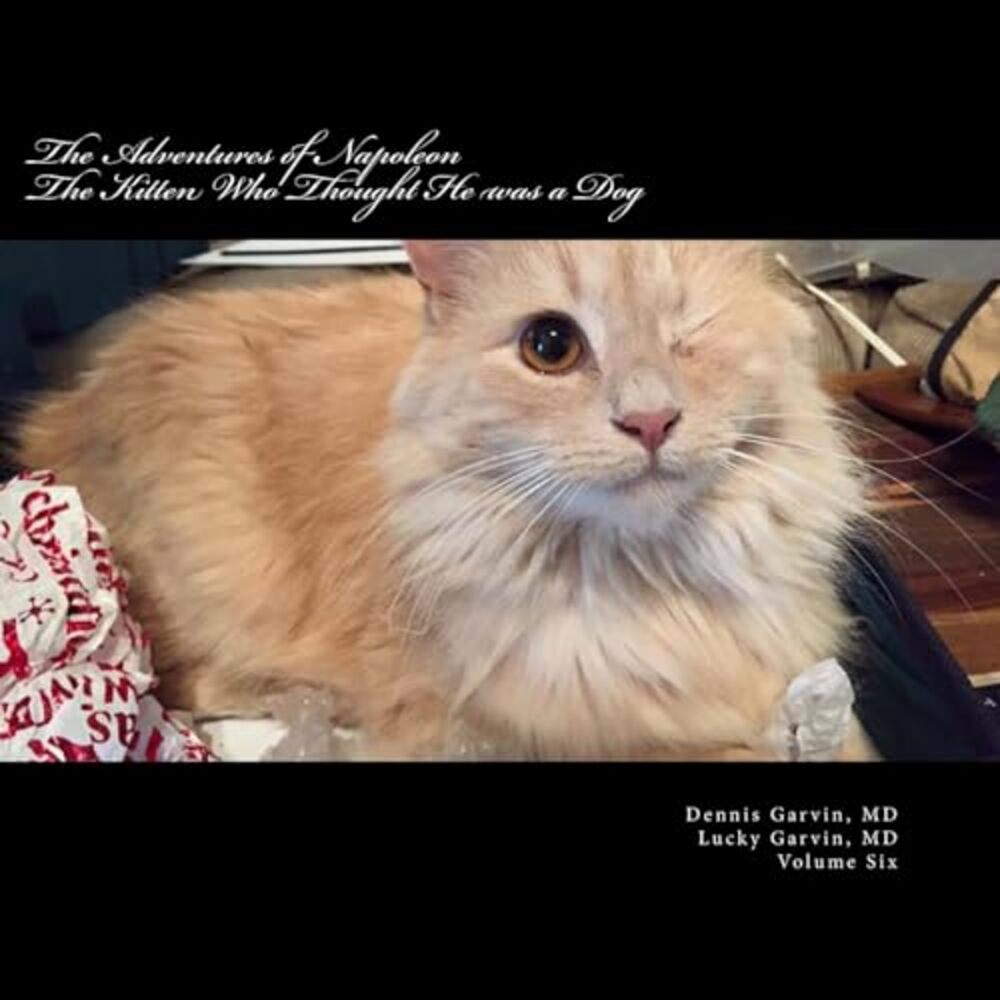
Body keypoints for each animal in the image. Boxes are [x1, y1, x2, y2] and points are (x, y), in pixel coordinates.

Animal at [14, 240, 876, 760]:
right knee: (189, 683)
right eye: (551, 347)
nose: (651, 420)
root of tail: (58, 415)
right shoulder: (513, 728)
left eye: (691, 333)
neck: (648, 585)